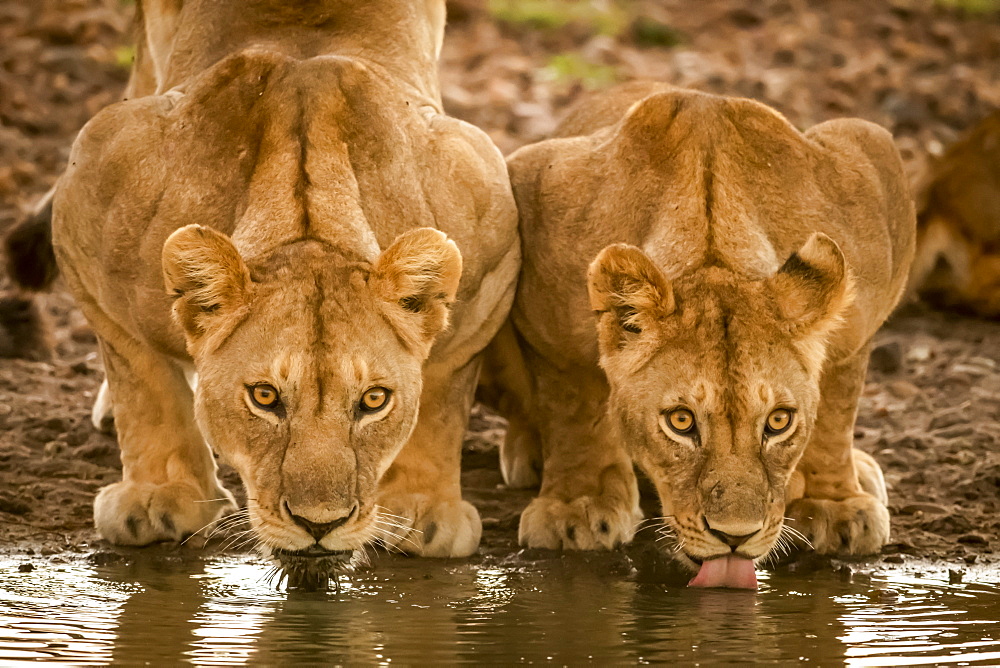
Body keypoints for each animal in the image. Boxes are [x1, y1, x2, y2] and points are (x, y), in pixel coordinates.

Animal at [488, 82, 916, 584]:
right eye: (680, 421)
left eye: (779, 421)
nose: (735, 536)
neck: (713, 239)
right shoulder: (537, 213)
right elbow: (572, 401)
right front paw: (578, 505)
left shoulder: (869, 167)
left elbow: (837, 403)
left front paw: (833, 503)